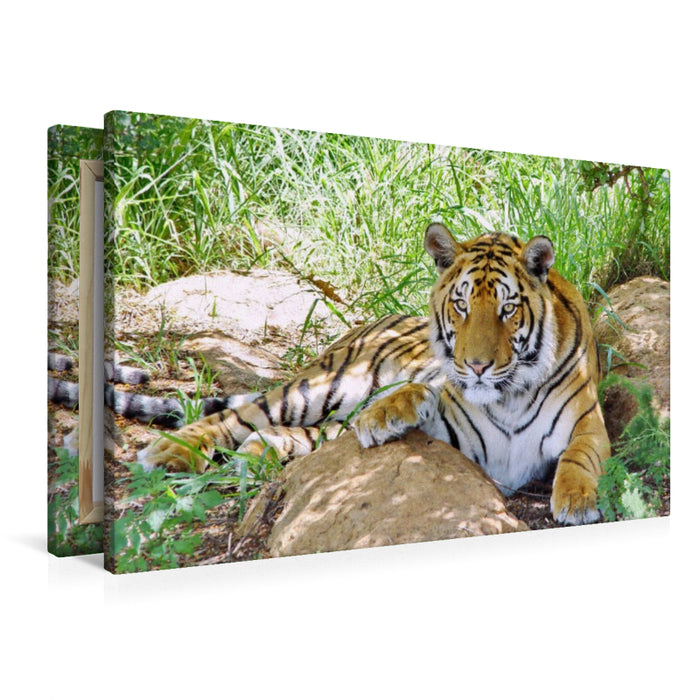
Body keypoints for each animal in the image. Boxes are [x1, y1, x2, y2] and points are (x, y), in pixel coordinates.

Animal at [134, 223, 610, 526]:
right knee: (238, 416)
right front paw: (387, 414)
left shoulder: (590, 427)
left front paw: (575, 500)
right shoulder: (455, 431)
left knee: (294, 435)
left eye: (507, 309)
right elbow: (418, 394)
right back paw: (169, 451)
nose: (476, 366)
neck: (509, 395)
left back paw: (257, 454)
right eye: (462, 305)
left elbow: (578, 457)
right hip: (317, 386)